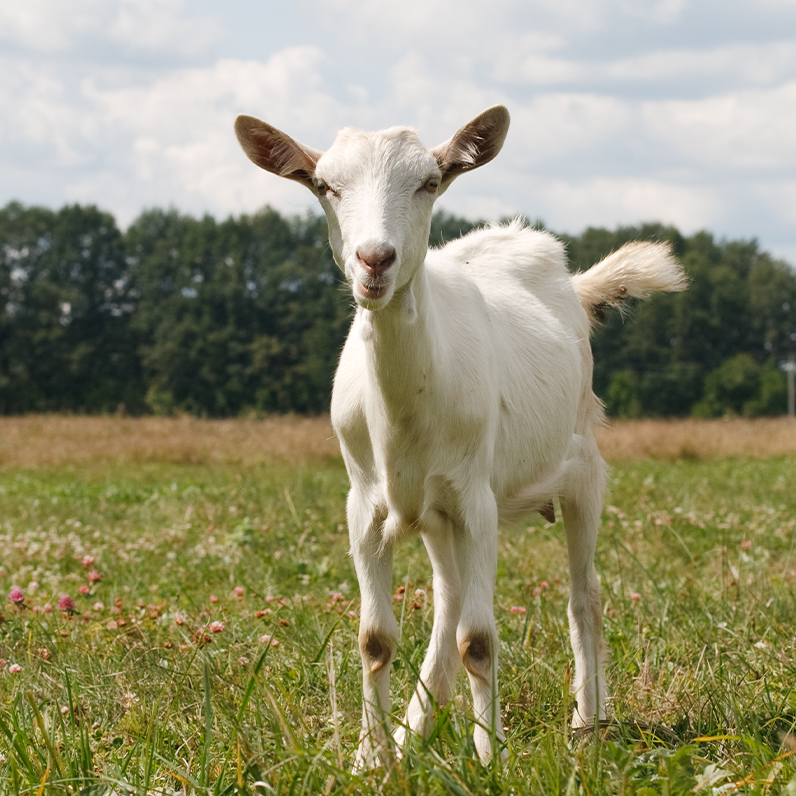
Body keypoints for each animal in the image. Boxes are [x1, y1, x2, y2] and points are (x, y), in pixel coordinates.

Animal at [234, 106, 688, 769]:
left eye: (429, 182)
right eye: (324, 185)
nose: (375, 260)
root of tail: (572, 282)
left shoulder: (477, 499)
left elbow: (480, 639)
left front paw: (489, 756)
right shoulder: (364, 504)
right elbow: (375, 638)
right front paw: (372, 758)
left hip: (581, 467)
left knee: (583, 594)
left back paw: (586, 722)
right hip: (436, 512)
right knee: (448, 601)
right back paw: (412, 732)